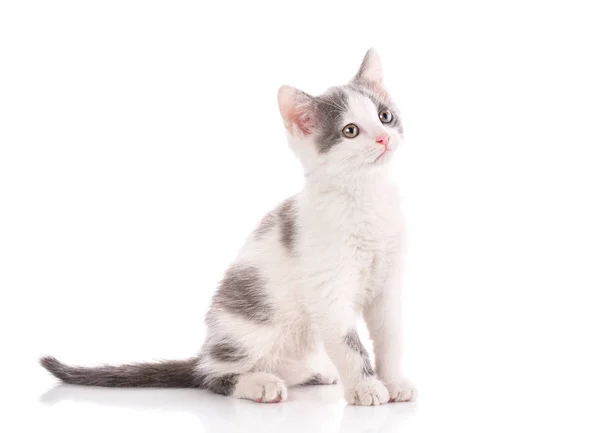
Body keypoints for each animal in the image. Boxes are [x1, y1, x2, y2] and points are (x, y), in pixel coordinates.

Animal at [41, 48, 418, 404]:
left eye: (385, 116)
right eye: (350, 131)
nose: (383, 138)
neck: (366, 198)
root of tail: (205, 354)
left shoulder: (388, 285)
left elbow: (391, 337)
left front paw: (394, 382)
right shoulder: (328, 289)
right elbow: (349, 344)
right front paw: (366, 388)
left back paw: (314, 373)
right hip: (243, 334)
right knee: (214, 376)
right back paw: (259, 383)